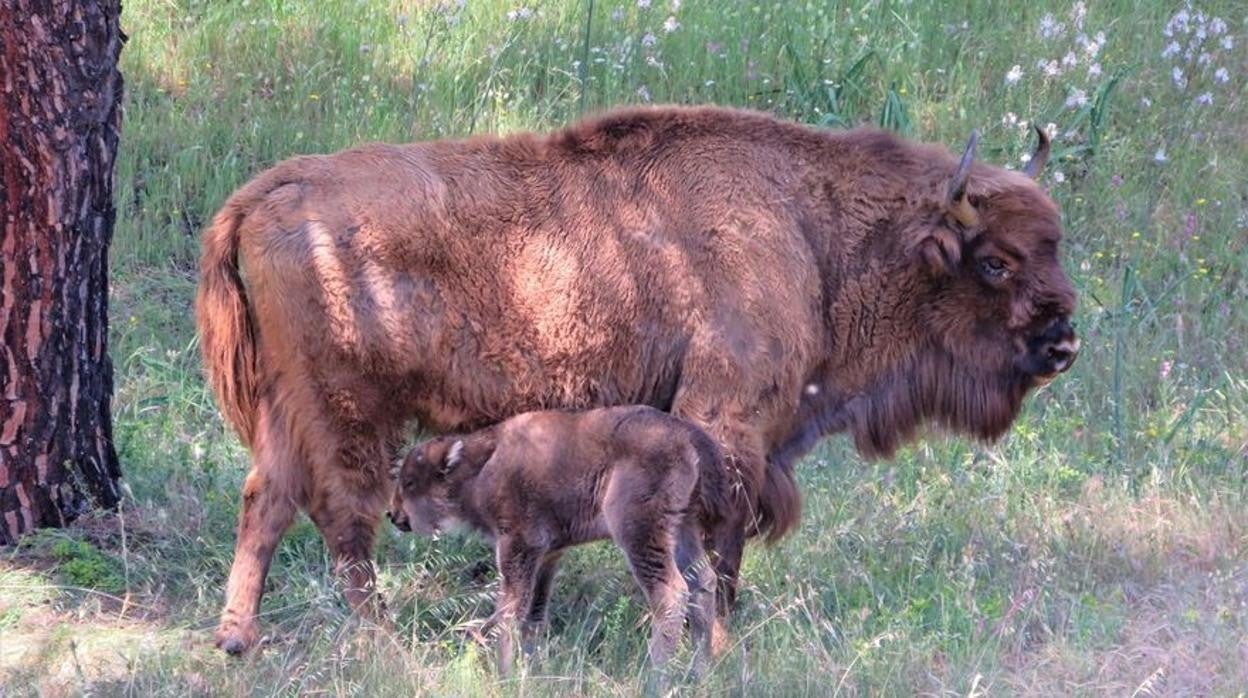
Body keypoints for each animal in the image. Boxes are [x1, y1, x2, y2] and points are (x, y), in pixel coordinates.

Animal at [389, 404, 728, 679]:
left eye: (410, 482)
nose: (393, 514)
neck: (482, 465)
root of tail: (688, 435)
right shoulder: (549, 555)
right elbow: (534, 614)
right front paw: (530, 669)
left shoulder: (518, 546)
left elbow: (510, 609)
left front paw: (504, 672)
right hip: (683, 527)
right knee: (703, 581)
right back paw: (699, 672)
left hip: (640, 532)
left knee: (671, 592)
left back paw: (655, 677)